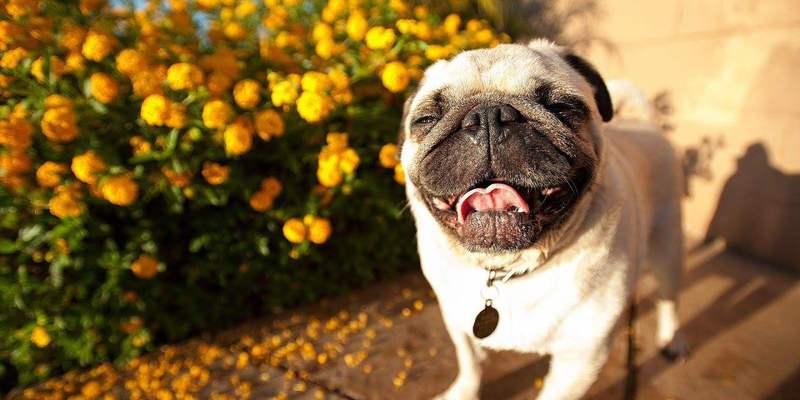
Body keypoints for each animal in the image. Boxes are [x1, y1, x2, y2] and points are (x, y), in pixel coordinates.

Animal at [400, 41, 688, 400]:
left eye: (563, 107)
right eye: (426, 119)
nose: (488, 116)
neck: (509, 268)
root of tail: (641, 123)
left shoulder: (581, 358)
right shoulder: (457, 322)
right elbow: (470, 363)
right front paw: (462, 392)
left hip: (668, 245)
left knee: (669, 298)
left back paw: (673, 340)